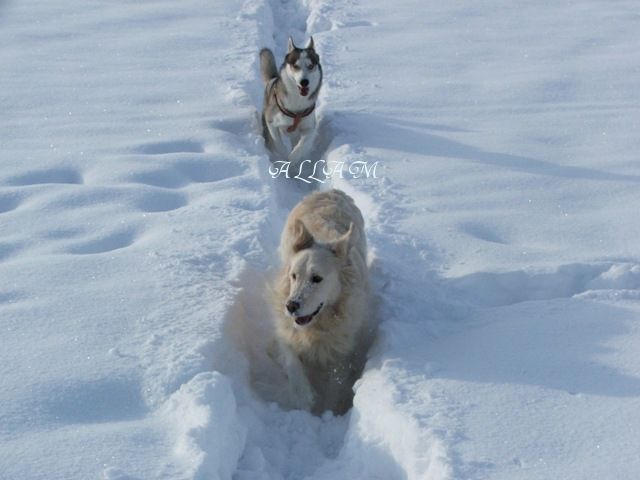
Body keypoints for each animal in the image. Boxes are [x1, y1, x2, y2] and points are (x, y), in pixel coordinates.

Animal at [268, 189, 370, 414]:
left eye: (317, 278)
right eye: (293, 276)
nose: (291, 306)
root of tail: (331, 191)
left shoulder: (342, 346)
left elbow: (336, 383)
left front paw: (328, 413)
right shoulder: (285, 330)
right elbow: (292, 362)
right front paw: (303, 399)